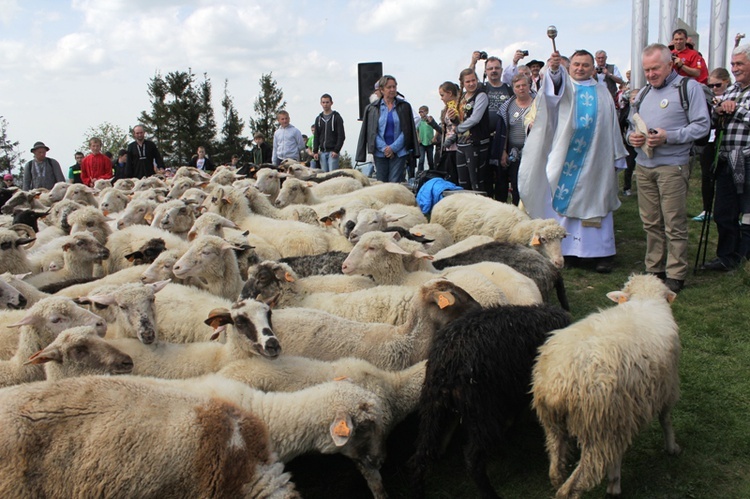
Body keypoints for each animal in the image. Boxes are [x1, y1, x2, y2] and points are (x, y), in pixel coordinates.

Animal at [412, 302, 568, 498]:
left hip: (432, 407)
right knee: (472, 458)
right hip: (482, 410)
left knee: (421, 453)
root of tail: (447, 363)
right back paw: (490, 493)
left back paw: (418, 489)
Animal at [532, 276, 684, 498]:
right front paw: (672, 447)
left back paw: (558, 478)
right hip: (597, 427)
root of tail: (558, 384)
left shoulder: (620, 415)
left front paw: (614, 482)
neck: (645, 299)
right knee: (581, 478)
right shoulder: (667, 386)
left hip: (553, 422)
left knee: (555, 464)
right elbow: (666, 420)